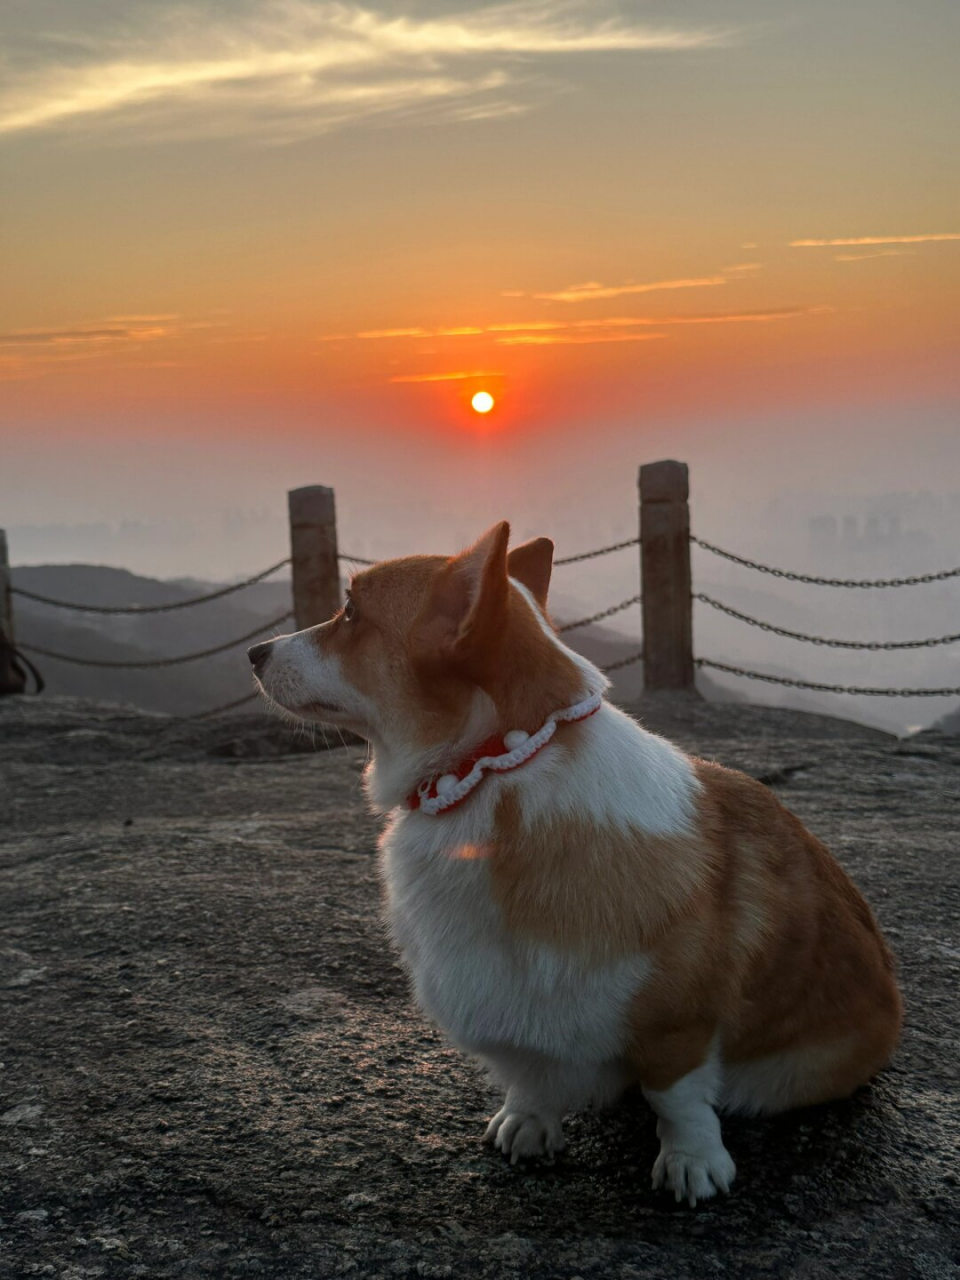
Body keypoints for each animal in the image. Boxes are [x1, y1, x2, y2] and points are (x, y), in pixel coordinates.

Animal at [245, 524, 901, 1203]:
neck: (493, 772)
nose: (254, 653)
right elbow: (532, 1076)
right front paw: (528, 1121)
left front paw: (692, 1162)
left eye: (350, 613)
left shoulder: (678, 1024)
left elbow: (677, 1098)